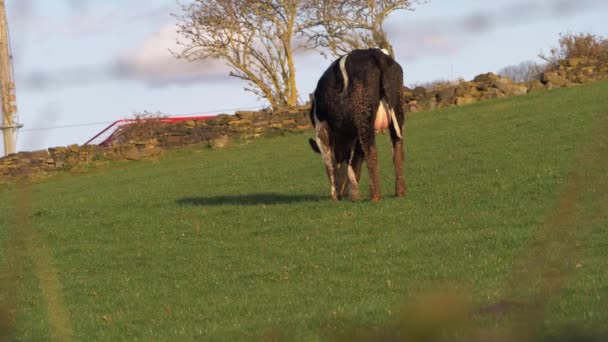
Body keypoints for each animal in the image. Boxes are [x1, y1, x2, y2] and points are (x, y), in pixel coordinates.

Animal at [308, 48, 408, 203]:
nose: (341, 194)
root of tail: (376, 53)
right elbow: (355, 162)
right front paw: (353, 194)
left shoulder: (322, 131)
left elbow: (330, 165)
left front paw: (337, 195)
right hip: (396, 108)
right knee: (396, 148)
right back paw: (400, 192)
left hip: (363, 116)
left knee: (372, 152)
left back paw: (375, 196)